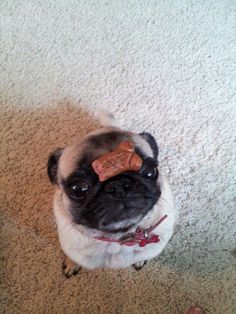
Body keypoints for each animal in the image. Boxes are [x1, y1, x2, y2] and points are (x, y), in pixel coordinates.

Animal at [47, 113, 177, 278]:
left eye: (150, 171)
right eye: (78, 188)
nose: (118, 186)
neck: (117, 239)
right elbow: (73, 257)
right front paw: (72, 263)